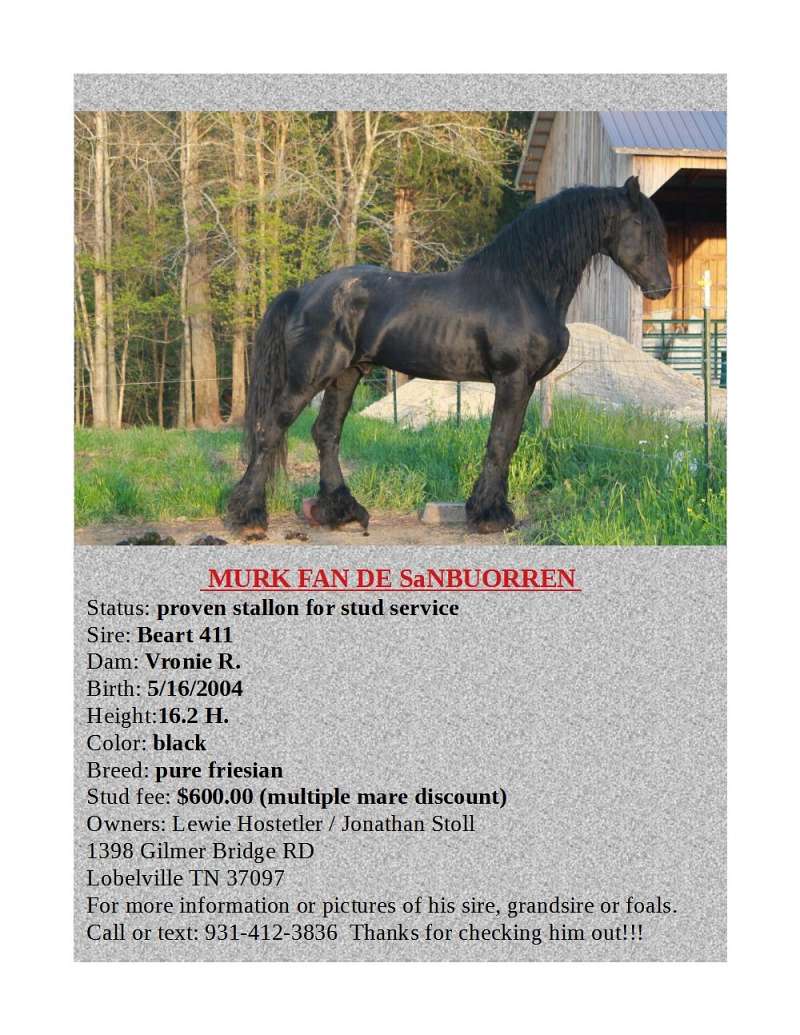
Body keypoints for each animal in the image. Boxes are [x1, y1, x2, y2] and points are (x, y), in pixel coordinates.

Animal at [227, 175, 670, 538]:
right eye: (641, 227)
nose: (662, 288)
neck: (523, 286)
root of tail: (303, 292)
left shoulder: (526, 383)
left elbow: (508, 441)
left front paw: (487, 508)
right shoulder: (512, 378)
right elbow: (499, 441)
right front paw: (489, 516)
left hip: (346, 375)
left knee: (326, 433)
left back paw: (341, 512)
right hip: (311, 376)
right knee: (271, 429)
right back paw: (248, 517)